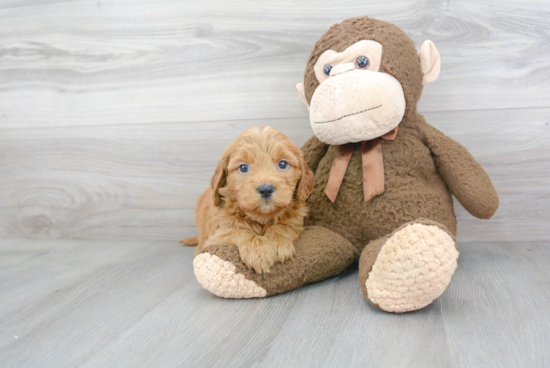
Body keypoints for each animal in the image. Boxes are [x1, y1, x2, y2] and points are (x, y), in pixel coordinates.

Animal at [182, 126, 314, 274]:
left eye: (283, 164)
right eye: (243, 167)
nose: (266, 189)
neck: (261, 218)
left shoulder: (296, 223)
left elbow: (283, 227)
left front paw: (277, 242)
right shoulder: (217, 235)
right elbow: (238, 231)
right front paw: (258, 251)